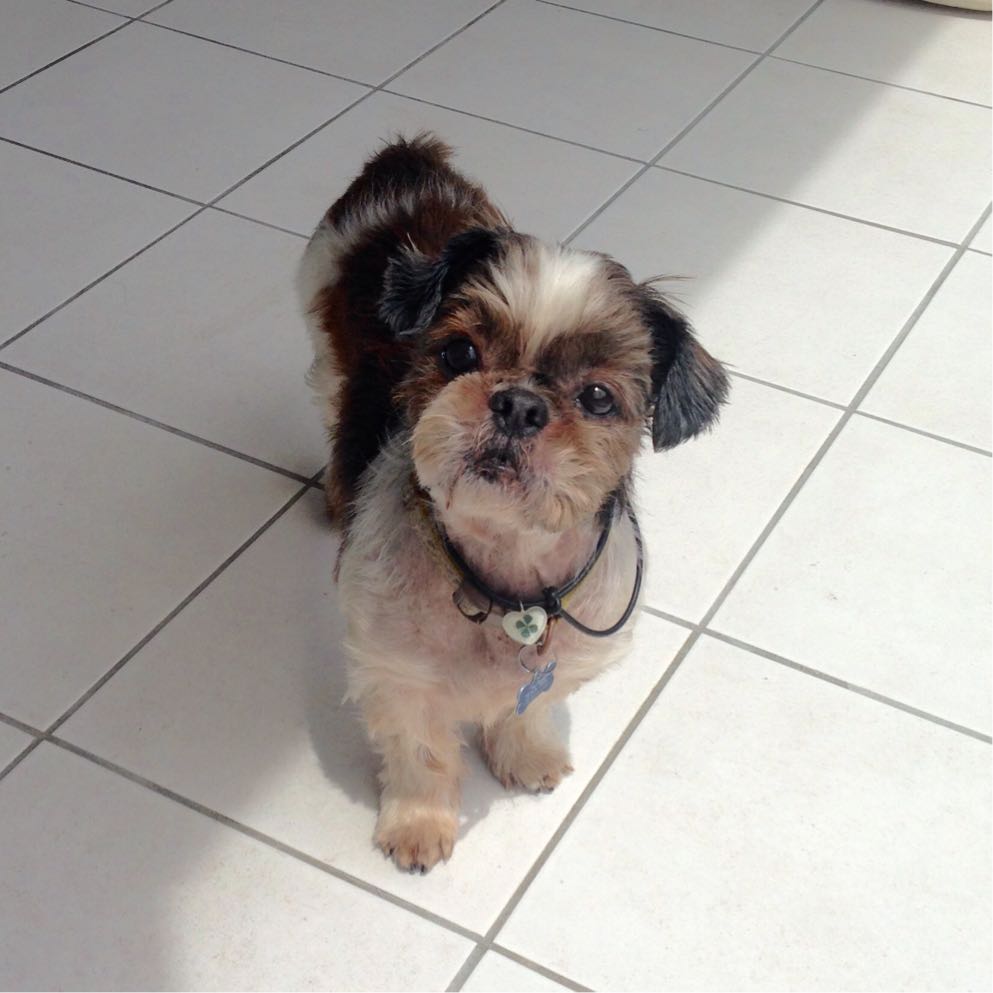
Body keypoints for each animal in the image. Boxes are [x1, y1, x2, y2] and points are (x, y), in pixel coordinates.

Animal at [298, 134, 728, 873]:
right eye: (457, 352)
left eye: (596, 397)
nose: (519, 403)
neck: (503, 579)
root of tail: (406, 161)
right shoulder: (396, 668)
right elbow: (420, 751)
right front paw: (418, 824)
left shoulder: (570, 651)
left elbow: (525, 706)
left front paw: (524, 756)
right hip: (324, 331)